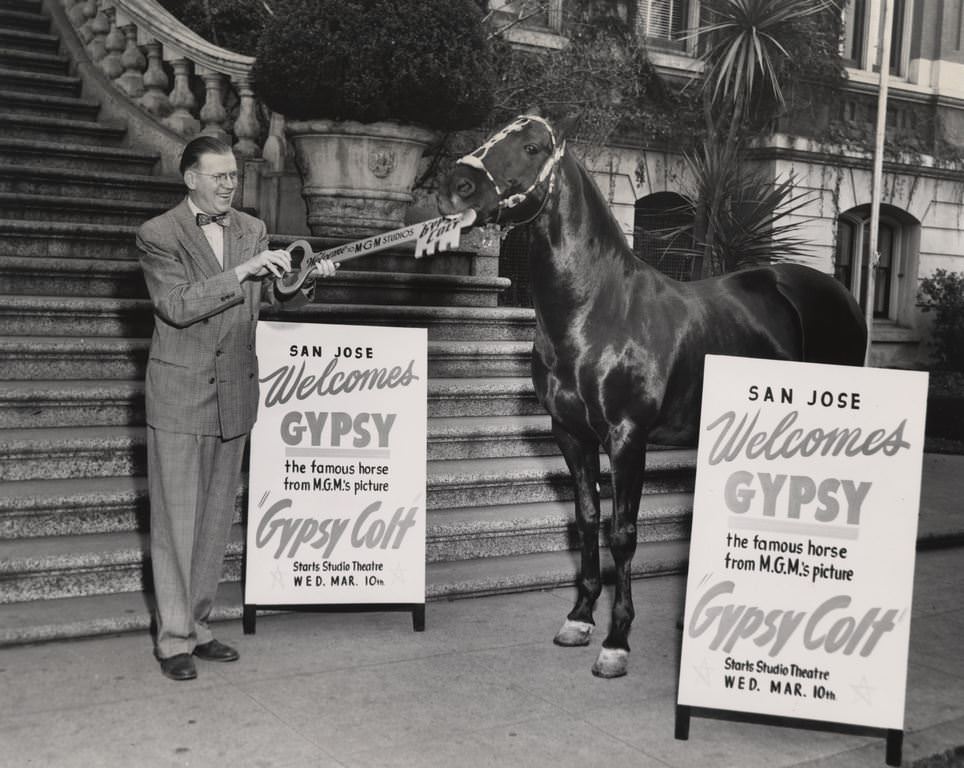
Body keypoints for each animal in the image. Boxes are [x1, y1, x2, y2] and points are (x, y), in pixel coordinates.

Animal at [436, 114, 868, 680]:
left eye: (531, 146)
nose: (456, 184)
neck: (598, 309)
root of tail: (843, 296)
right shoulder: (570, 435)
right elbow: (586, 519)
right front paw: (579, 618)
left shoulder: (627, 439)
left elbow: (623, 533)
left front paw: (616, 642)